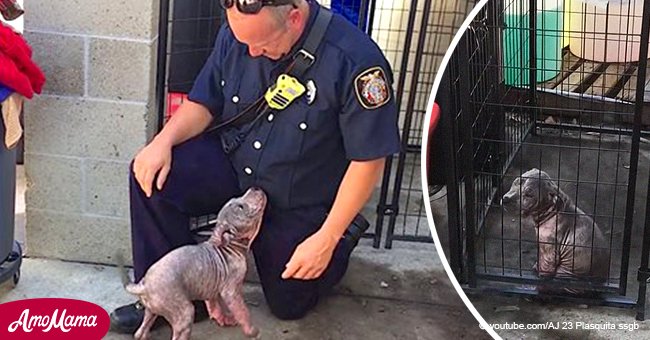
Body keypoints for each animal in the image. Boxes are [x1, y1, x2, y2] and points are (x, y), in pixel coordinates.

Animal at [124, 187, 266, 338]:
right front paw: (251, 331)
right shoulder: (231, 291)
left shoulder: (212, 286)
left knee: (140, 331)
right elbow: (242, 310)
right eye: (240, 207)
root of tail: (144, 286)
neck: (229, 245)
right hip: (183, 312)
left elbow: (214, 304)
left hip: (151, 310)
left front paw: (223, 318)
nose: (255, 188)